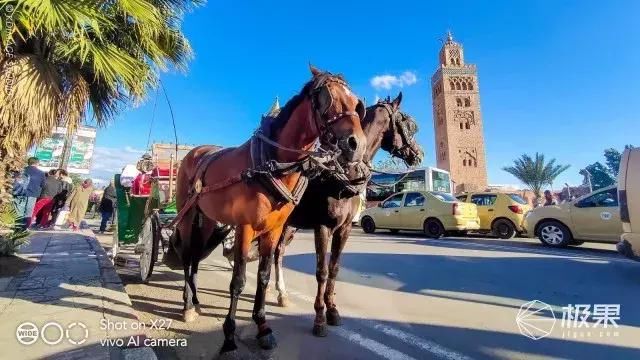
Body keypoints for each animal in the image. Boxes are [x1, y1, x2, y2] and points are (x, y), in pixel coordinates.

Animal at [172, 67, 368, 354]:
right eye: (326, 98)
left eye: (356, 104)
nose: (357, 144)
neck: (272, 163)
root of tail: (196, 151)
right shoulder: (245, 228)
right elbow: (239, 280)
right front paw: (229, 337)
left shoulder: (273, 230)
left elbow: (263, 276)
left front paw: (263, 327)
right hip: (187, 216)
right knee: (187, 256)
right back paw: (187, 306)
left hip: (207, 219)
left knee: (196, 256)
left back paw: (196, 302)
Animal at [272, 91, 422, 336]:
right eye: (407, 122)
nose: (419, 154)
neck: (341, 173)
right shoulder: (322, 227)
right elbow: (322, 271)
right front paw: (319, 317)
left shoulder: (344, 229)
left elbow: (334, 269)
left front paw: (332, 310)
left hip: (290, 225)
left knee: (278, 252)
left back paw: (280, 293)